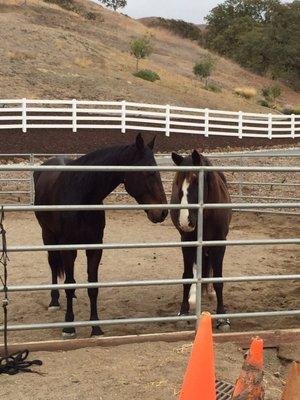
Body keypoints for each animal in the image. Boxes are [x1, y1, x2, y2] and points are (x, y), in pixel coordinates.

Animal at [34, 134, 169, 338]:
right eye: (148, 173)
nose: (162, 213)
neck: (81, 197)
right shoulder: (68, 248)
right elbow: (69, 283)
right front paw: (69, 326)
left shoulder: (95, 247)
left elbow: (92, 286)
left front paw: (96, 327)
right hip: (48, 236)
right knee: (53, 265)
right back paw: (54, 301)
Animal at [170, 148, 231, 330]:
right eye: (177, 183)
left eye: (196, 180)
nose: (185, 221)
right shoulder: (186, 242)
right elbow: (187, 276)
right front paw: (183, 312)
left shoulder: (219, 243)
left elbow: (218, 280)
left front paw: (222, 317)